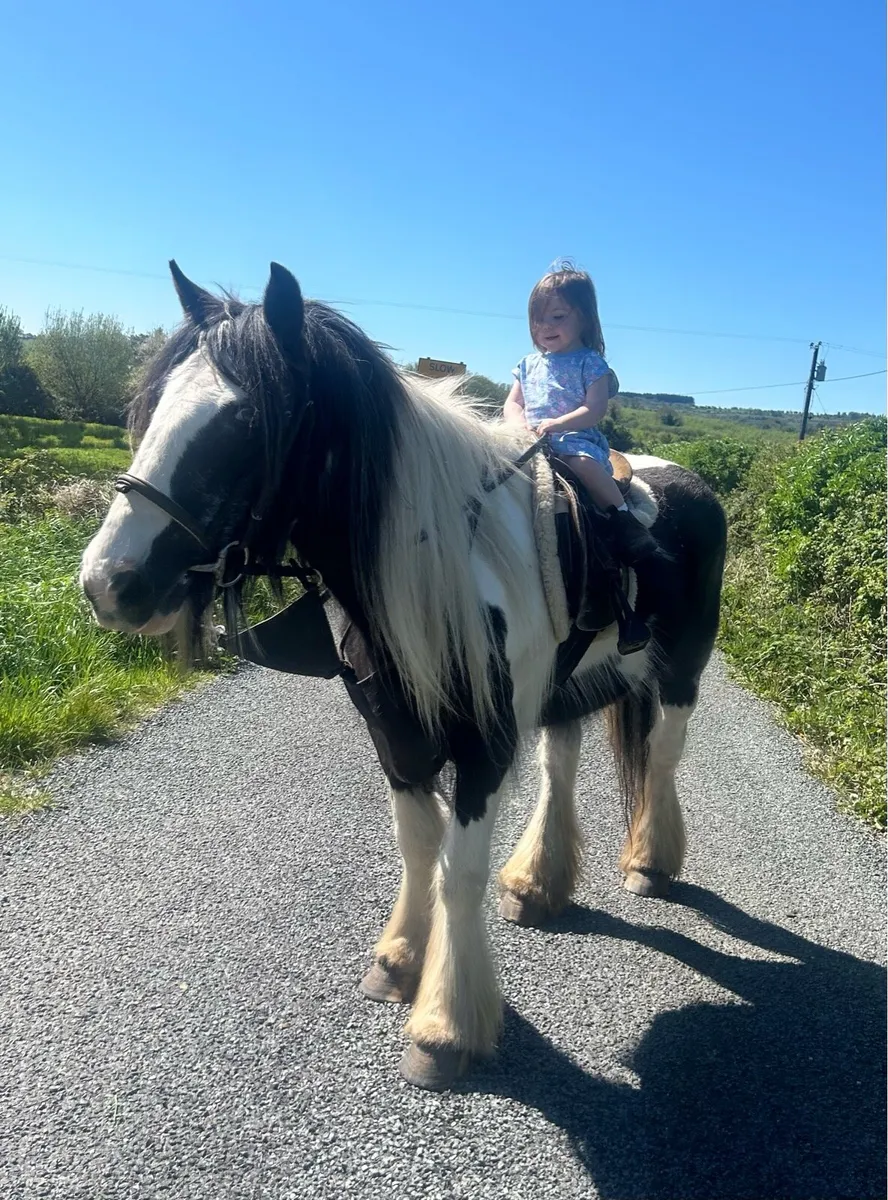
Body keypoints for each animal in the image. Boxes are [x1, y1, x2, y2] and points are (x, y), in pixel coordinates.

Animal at [80, 261, 727, 1091]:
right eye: (155, 403)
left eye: (245, 419)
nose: (109, 583)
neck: (442, 569)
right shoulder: (393, 732)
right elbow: (418, 845)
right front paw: (399, 960)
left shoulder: (483, 747)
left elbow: (458, 871)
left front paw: (445, 1025)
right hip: (565, 692)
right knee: (561, 767)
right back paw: (536, 882)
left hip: (682, 672)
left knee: (664, 756)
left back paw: (648, 861)